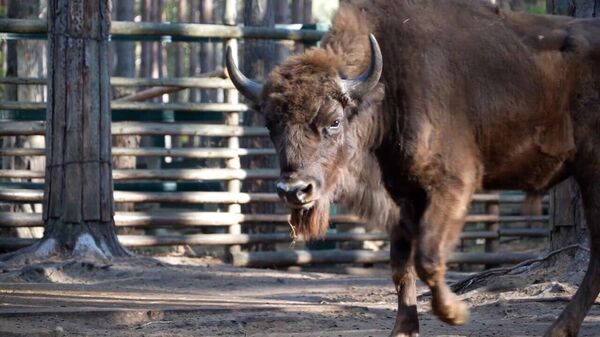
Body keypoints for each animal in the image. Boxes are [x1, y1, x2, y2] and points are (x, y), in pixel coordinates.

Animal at [226, 0, 600, 336]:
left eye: (334, 121)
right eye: (271, 123)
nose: (294, 191)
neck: (389, 87)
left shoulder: (452, 185)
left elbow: (427, 257)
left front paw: (455, 313)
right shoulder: (404, 195)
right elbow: (400, 266)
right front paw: (404, 330)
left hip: (592, 175)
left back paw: (559, 328)